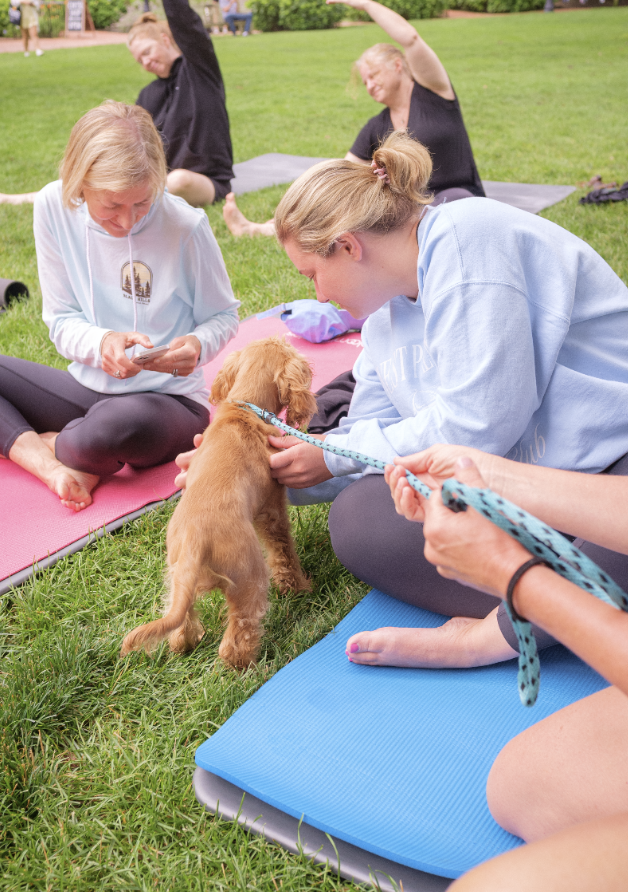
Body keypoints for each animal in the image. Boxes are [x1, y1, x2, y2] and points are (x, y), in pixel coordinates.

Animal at [120, 336, 318, 668]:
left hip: (177, 574)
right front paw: (299, 586)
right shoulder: (272, 510)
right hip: (249, 577)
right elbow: (284, 555)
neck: (244, 408)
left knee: (181, 619)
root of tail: (194, 539)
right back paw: (243, 667)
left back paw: (185, 644)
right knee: (240, 631)